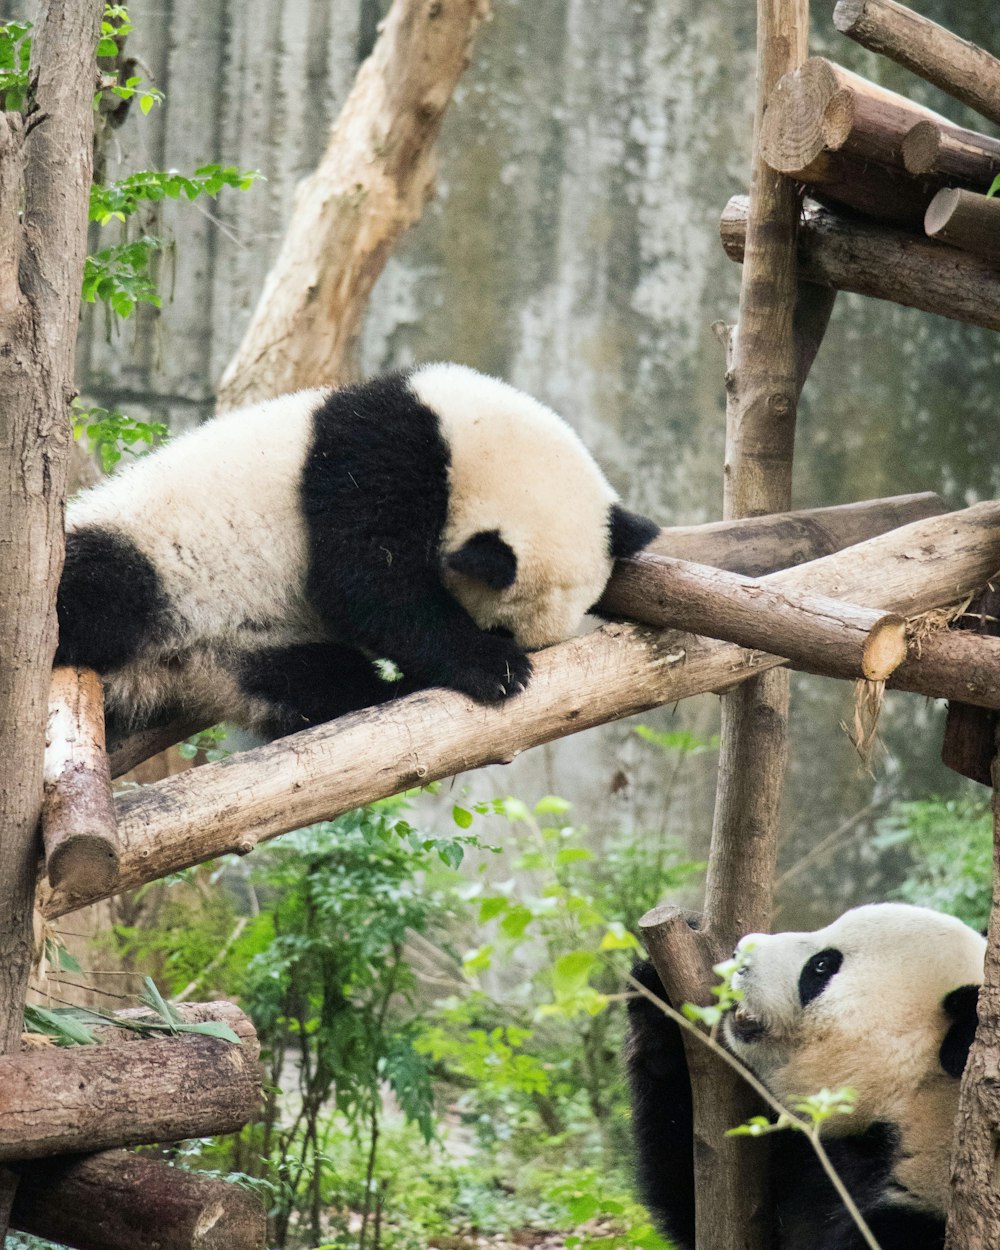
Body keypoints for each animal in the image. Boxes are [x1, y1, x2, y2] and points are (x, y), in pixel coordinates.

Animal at [56, 365, 655, 740]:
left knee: (309, 677)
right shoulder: (373, 460)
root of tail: (157, 669)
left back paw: (375, 692)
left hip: (243, 650)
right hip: (145, 549)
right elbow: (365, 586)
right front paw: (494, 668)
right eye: (500, 628)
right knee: (99, 591)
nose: (508, 647)